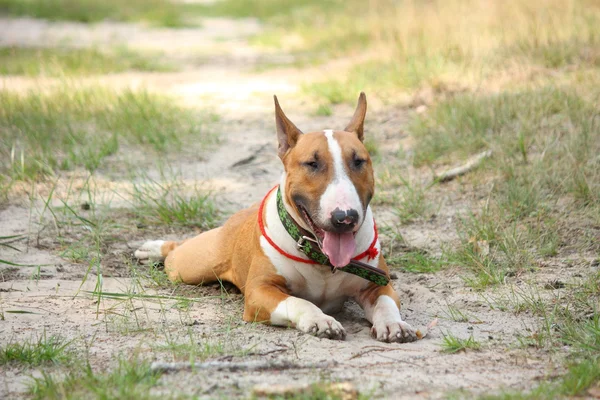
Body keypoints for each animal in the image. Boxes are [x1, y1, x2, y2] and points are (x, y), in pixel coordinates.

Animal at [135, 92, 418, 342]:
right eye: (312, 164)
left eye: (359, 161)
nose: (345, 217)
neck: (320, 258)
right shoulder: (260, 291)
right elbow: (299, 301)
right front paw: (321, 320)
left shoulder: (378, 285)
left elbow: (386, 304)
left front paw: (394, 325)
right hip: (192, 265)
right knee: (177, 252)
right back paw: (153, 249)